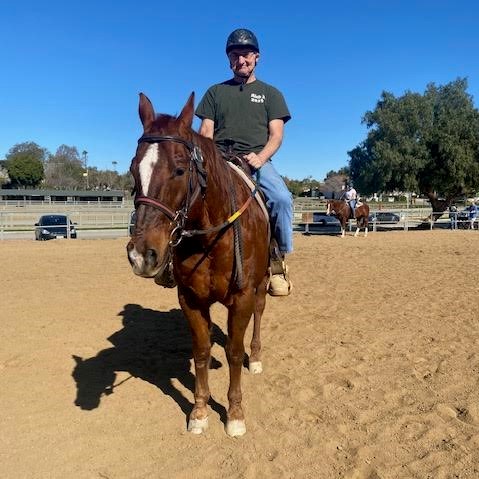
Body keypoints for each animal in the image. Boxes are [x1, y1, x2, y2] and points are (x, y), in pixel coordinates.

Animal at [126, 92, 270, 437]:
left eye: (180, 170)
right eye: (133, 169)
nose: (142, 255)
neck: (211, 238)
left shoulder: (242, 298)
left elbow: (234, 351)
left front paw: (235, 414)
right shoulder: (190, 299)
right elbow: (202, 351)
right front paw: (200, 410)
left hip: (261, 283)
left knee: (259, 313)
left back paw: (257, 357)